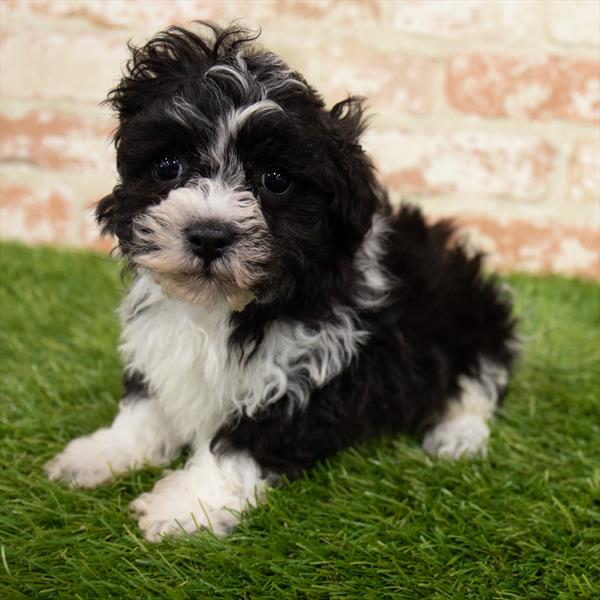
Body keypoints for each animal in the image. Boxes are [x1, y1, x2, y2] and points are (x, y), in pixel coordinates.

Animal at [44, 23, 516, 540]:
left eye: (275, 180)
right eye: (169, 166)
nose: (209, 235)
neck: (221, 307)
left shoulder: (308, 365)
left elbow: (246, 440)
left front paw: (186, 504)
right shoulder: (164, 344)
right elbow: (147, 406)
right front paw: (102, 453)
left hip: (471, 318)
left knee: (478, 384)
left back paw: (457, 435)